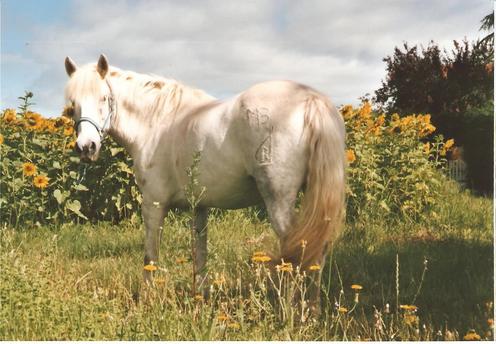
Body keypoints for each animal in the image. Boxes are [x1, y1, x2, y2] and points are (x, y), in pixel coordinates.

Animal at [65, 54, 344, 288]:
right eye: (73, 105)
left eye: (104, 98)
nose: (86, 147)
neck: (158, 122)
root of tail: (310, 99)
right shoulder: (199, 207)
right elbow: (200, 255)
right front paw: (200, 297)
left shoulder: (153, 204)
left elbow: (150, 256)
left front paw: (147, 297)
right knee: (317, 253)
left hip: (279, 201)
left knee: (296, 252)